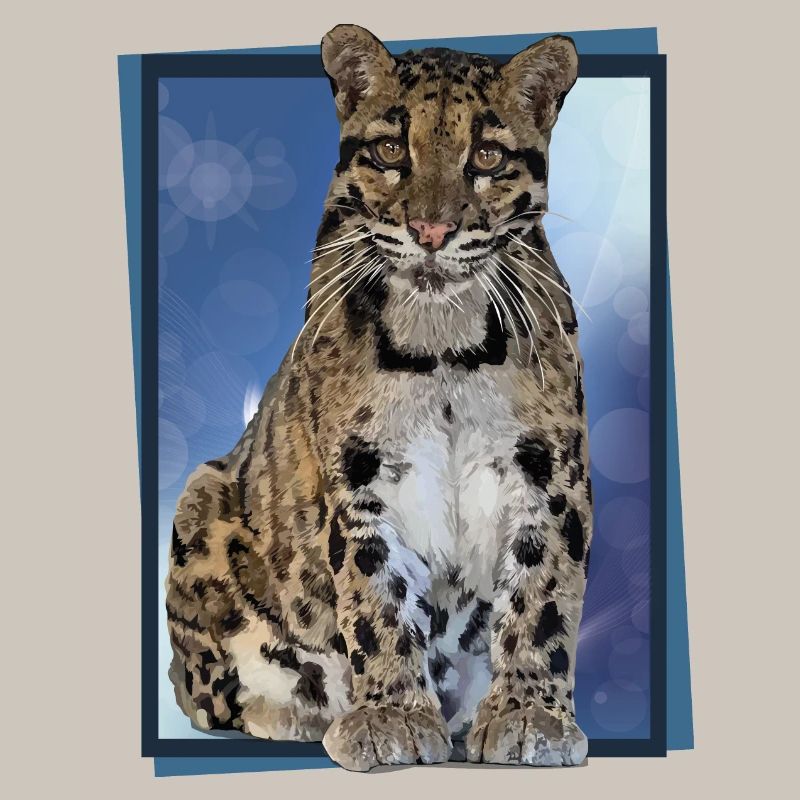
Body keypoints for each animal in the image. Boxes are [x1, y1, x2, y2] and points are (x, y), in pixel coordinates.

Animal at [166, 24, 592, 771]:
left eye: (486, 156)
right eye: (393, 150)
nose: (431, 232)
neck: (444, 344)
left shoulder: (549, 473)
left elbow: (543, 596)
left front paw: (529, 714)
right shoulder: (358, 475)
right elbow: (376, 596)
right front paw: (391, 715)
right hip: (200, 496)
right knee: (209, 693)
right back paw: (303, 711)